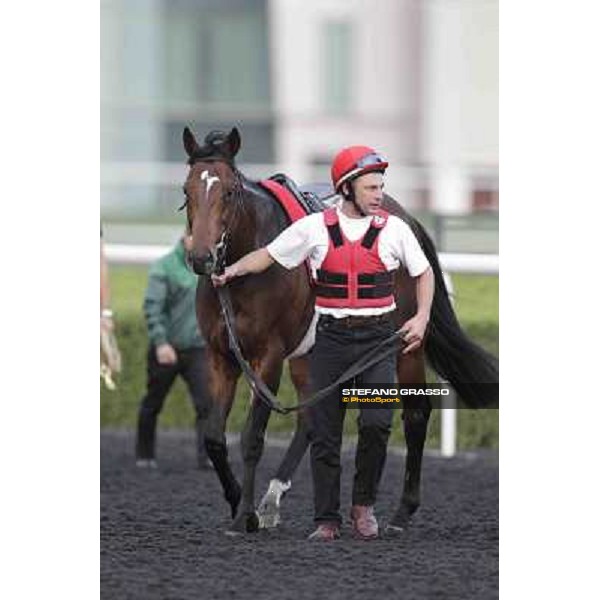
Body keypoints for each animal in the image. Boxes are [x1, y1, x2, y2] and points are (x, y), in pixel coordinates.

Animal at [182, 126, 496, 536]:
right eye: (186, 191)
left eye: (230, 192)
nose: (201, 258)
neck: (241, 278)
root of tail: (407, 218)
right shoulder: (222, 356)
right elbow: (215, 437)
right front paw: (239, 501)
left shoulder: (268, 357)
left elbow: (252, 436)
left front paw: (243, 515)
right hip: (309, 352)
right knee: (311, 418)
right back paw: (273, 500)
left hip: (404, 346)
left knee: (415, 414)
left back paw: (402, 511)